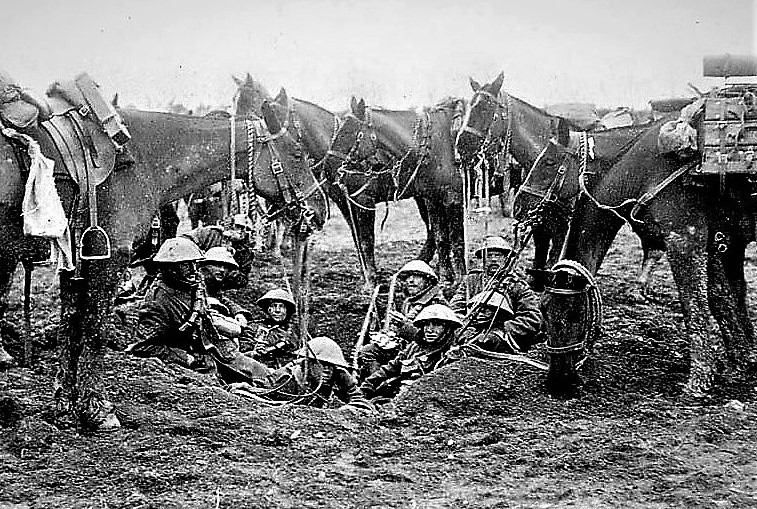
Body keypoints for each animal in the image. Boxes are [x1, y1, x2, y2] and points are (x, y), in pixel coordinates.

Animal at [0, 92, 322, 428]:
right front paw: (98, 409)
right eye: (297, 155)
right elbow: (95, 330)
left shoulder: (76, 260)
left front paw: (65, 405)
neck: (142, 159)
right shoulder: (110, 258)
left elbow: (70, 326)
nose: (319, 209)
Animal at [318, 95, 466, 286]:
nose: (328, 168)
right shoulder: (431, 198)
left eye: (350, 133)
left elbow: (456, 240)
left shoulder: (452, 197)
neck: (438, 144)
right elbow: (441, 236)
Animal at [454, 72, 660, 294]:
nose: (461, 145)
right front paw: (536, 280)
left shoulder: (564, 225)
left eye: (484, 108)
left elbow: (556, 255)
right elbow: (541, 247)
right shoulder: (538, 218)